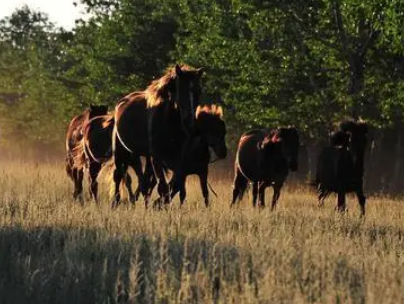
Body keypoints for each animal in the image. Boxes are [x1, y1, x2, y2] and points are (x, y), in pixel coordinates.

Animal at [110, 63, 204, 208]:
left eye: (198, 91)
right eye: (181, 90)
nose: (190, 123)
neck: (169, 120)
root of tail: (121, 103)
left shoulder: (177, 156)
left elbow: (175, 184)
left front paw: (159, 203)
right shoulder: (157, 156)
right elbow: (162, 186)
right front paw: (160, 204)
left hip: (142, 156)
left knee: (143, 180)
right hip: (121, 151)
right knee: (119, 175)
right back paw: (117, 202)